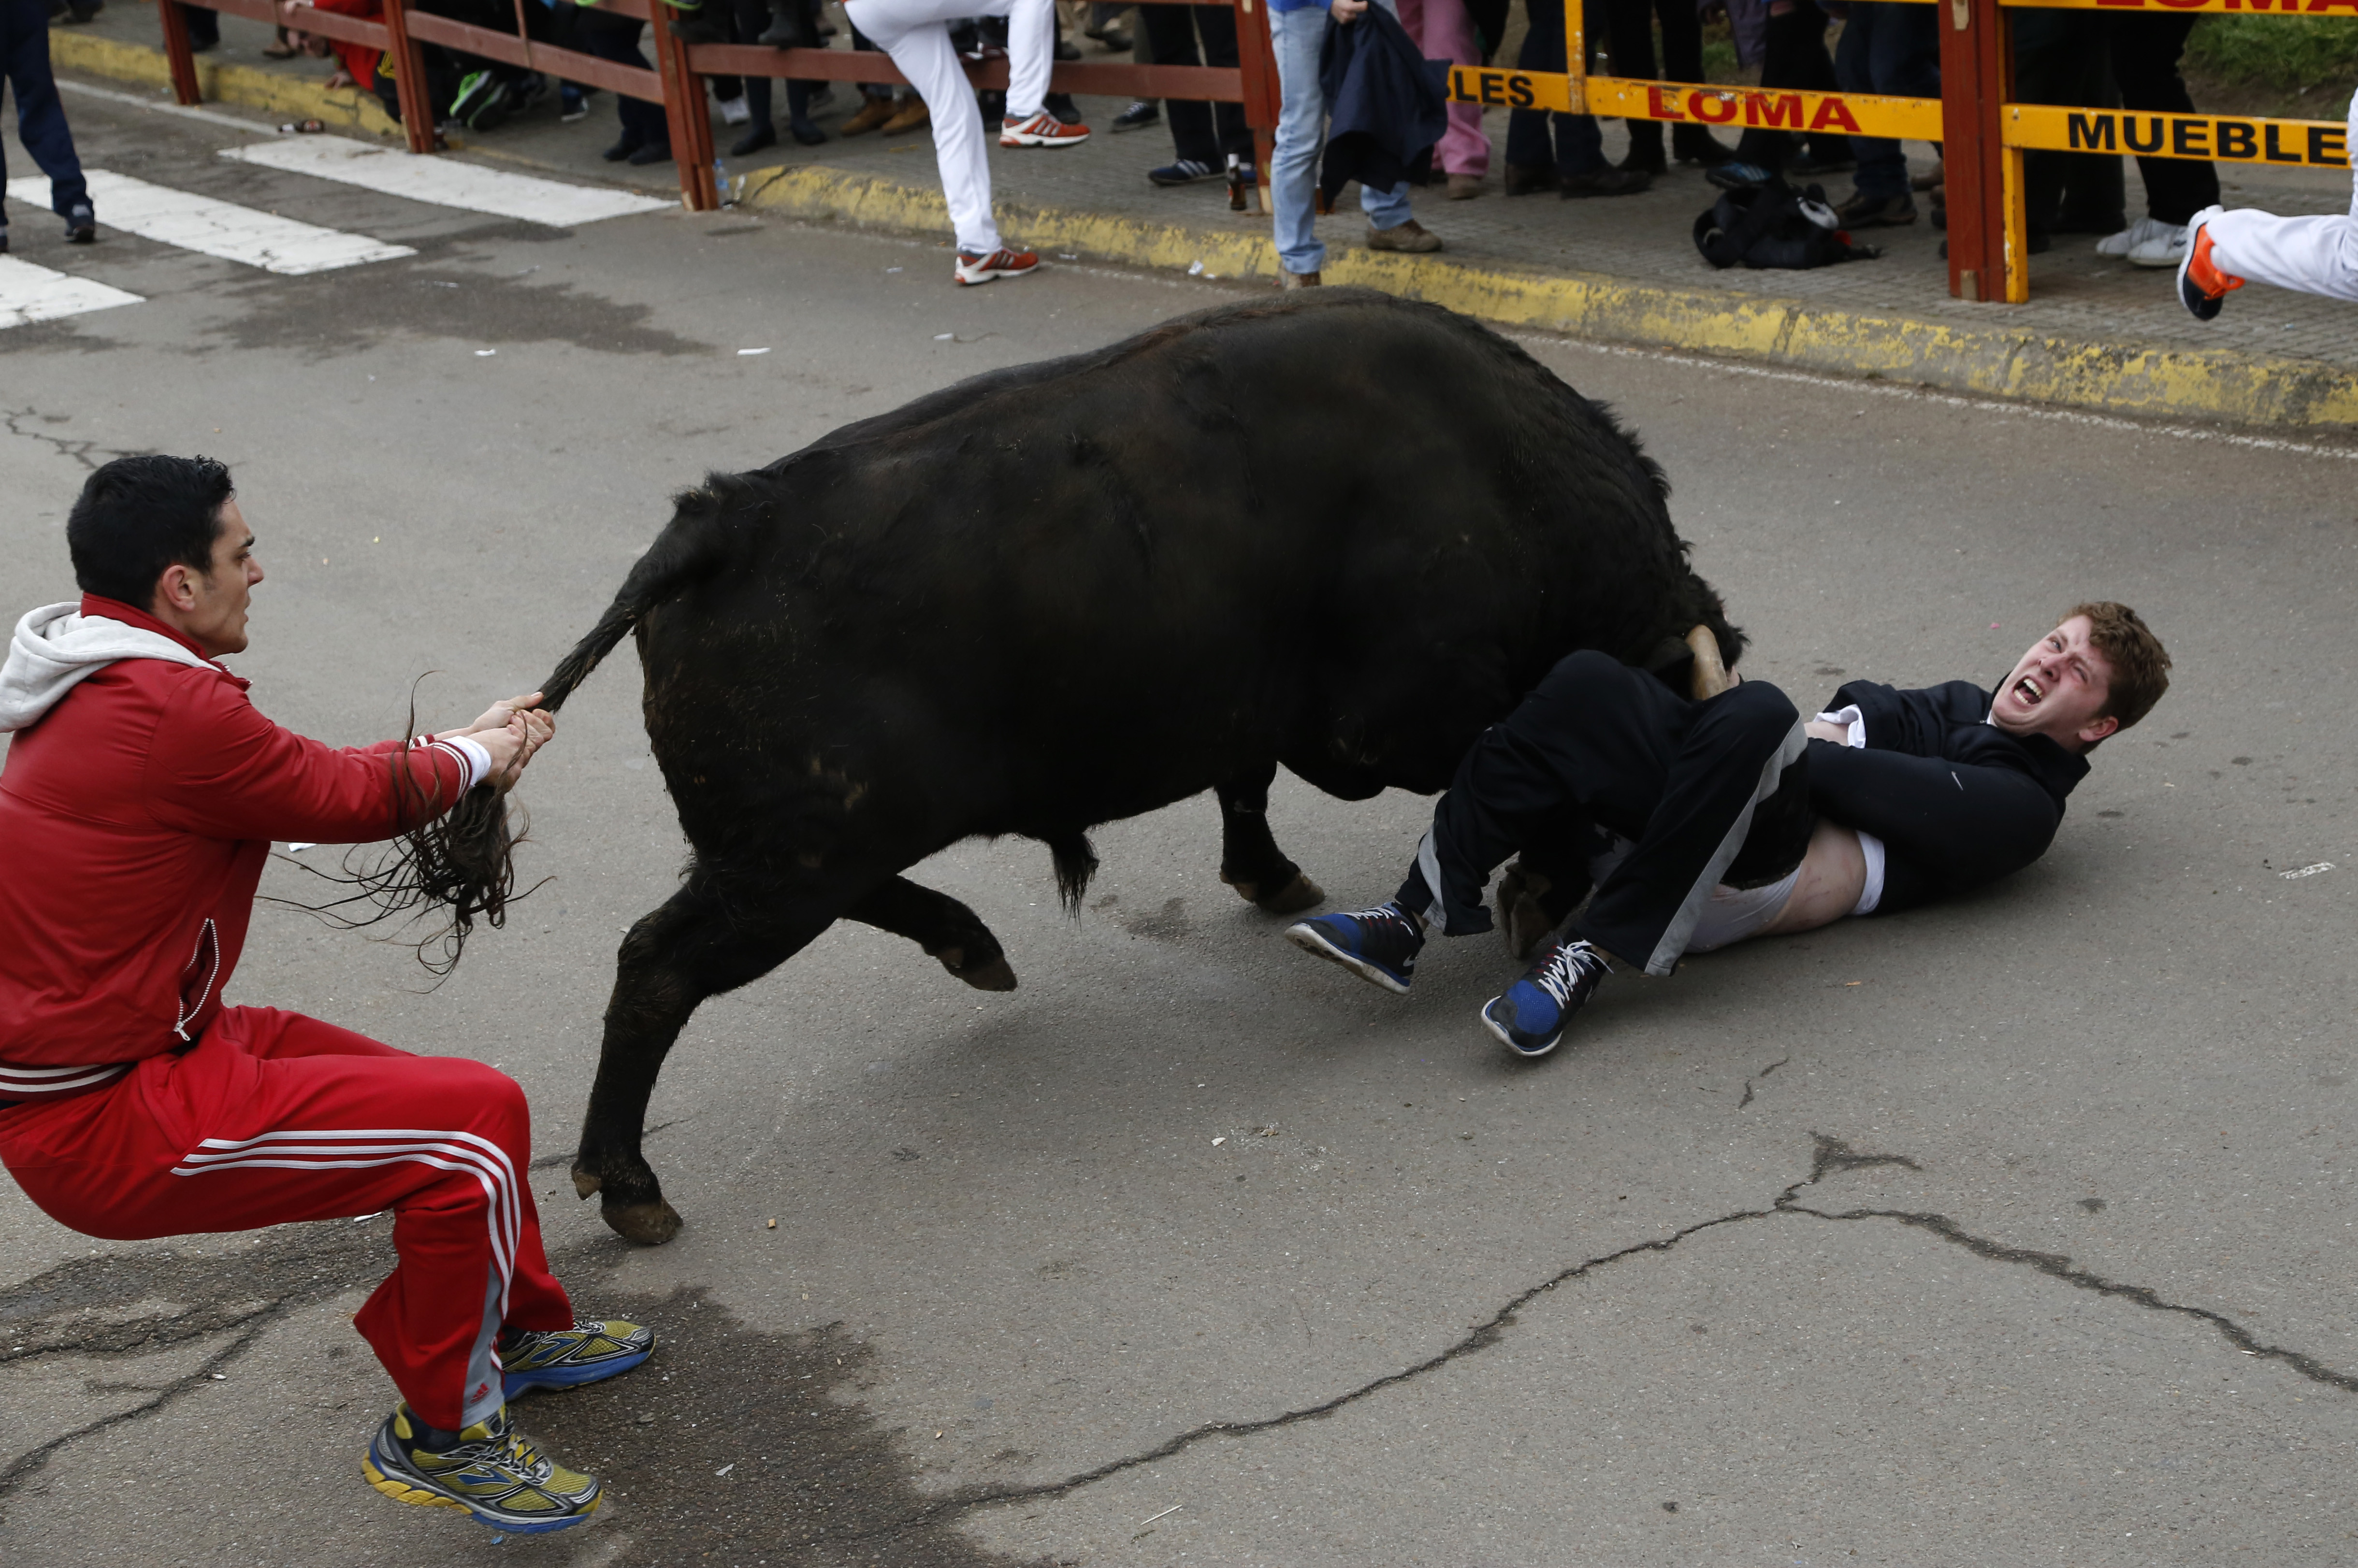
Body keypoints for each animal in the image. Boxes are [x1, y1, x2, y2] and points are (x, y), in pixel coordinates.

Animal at [526, 290, 1735, 1245]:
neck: (1498, 472)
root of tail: (717, 523)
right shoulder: (1396, 723)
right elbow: (1518, 780)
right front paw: (1543, 884)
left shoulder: (1263, 714)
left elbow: (1246, 783)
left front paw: (1273, 877)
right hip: (792, 862)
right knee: (657, 966)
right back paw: (631, 1187)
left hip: (800, 852)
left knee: (835, 903)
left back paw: (974, 946)